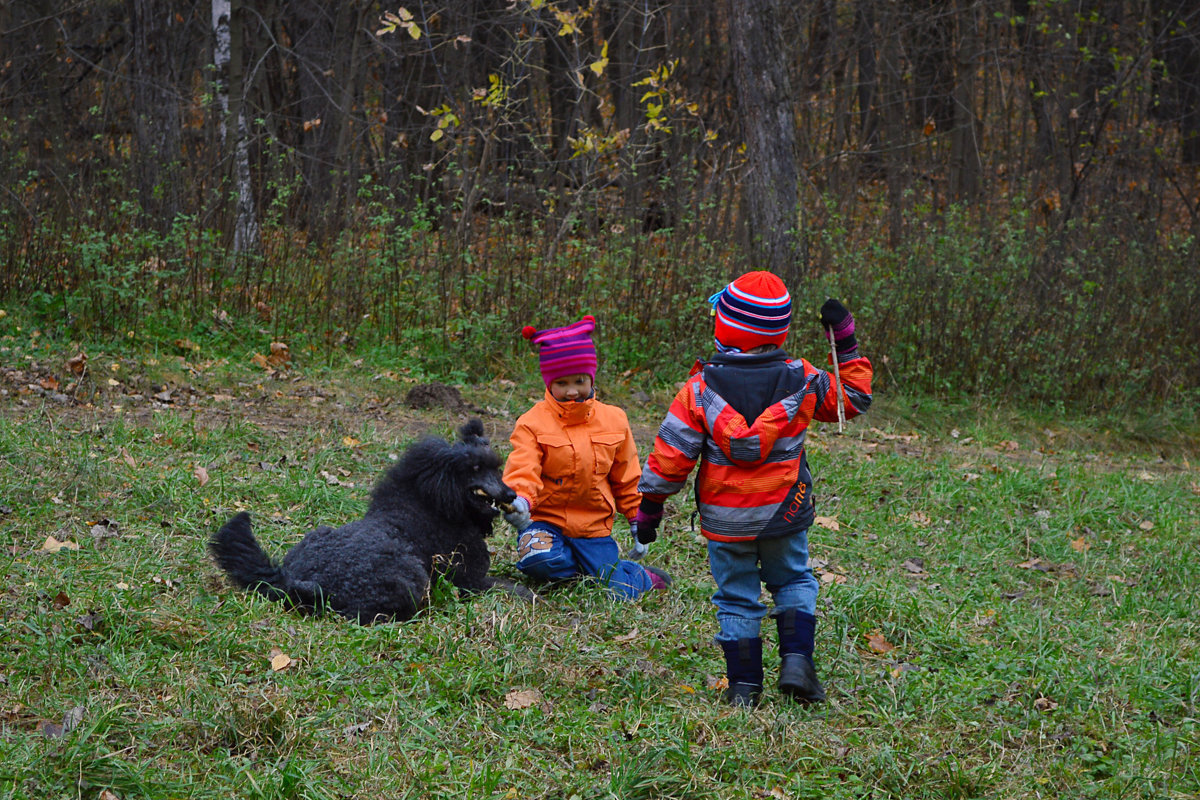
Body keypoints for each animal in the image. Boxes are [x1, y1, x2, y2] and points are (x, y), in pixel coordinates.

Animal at [208, 419, 537, 623]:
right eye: (475, 468)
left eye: (496, 467)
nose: (511, 494)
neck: (427, 507)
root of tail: (296, 580)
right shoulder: (471, 581)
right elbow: (515, 589)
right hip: (410, 578)